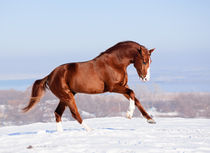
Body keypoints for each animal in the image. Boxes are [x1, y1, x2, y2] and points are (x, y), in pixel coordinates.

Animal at [22, 40, 156, 131]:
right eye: (144, 61)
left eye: (150, 61)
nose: (146, 78)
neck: (115, 63)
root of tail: (50, 75)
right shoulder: (113, 88)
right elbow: (132, 93)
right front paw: (129, 115)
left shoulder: (123, 87)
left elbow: (136, 99)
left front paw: (150, 119)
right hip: (67, 96)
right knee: (74, 113)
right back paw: (90, 130)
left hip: (65, 97)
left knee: (57, 113)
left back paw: (61, 134)